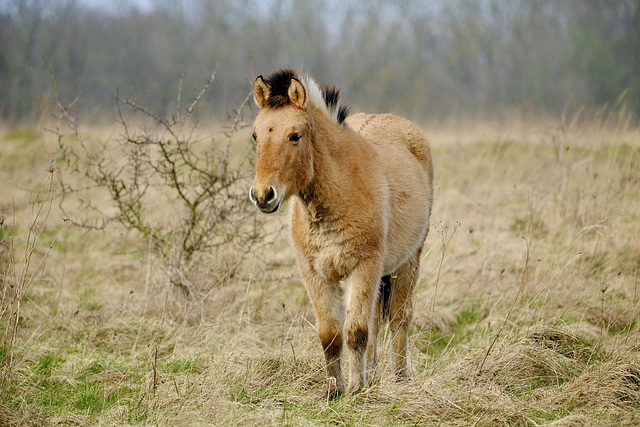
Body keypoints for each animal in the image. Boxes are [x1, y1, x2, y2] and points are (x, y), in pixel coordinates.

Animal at [250, 67, 436, 398]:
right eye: (255, 135)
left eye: (295, 135)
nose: (262, 196)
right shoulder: (315, 273)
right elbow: (331, 335)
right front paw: (334, 390)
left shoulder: (364, 267)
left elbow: (356, 332)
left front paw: (353, 388)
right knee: (376, 321)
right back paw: (373, 379)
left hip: (407, 263)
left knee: (399, 318)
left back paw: (399, 379)